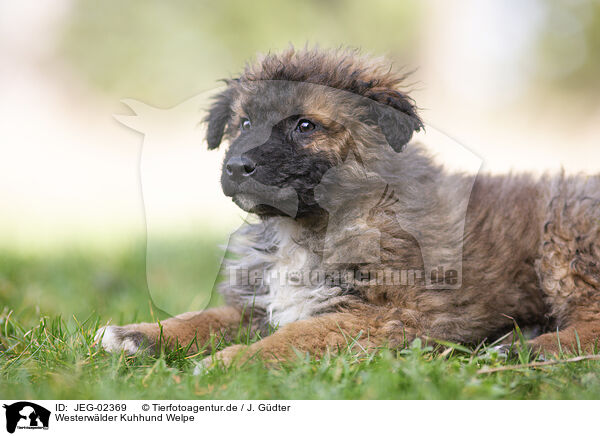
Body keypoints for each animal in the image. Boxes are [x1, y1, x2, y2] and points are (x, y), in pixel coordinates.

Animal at [95, 46, 600, 364]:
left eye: (305, 126)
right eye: (244, 123)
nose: (237, 166)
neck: (309, 227)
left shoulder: (382, 315)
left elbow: (294, 336)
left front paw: (233, 363)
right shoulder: (257, 303)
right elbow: (203, 318)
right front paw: (139, 334)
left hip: (567, 234)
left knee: (592, 323)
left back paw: (527, 350)